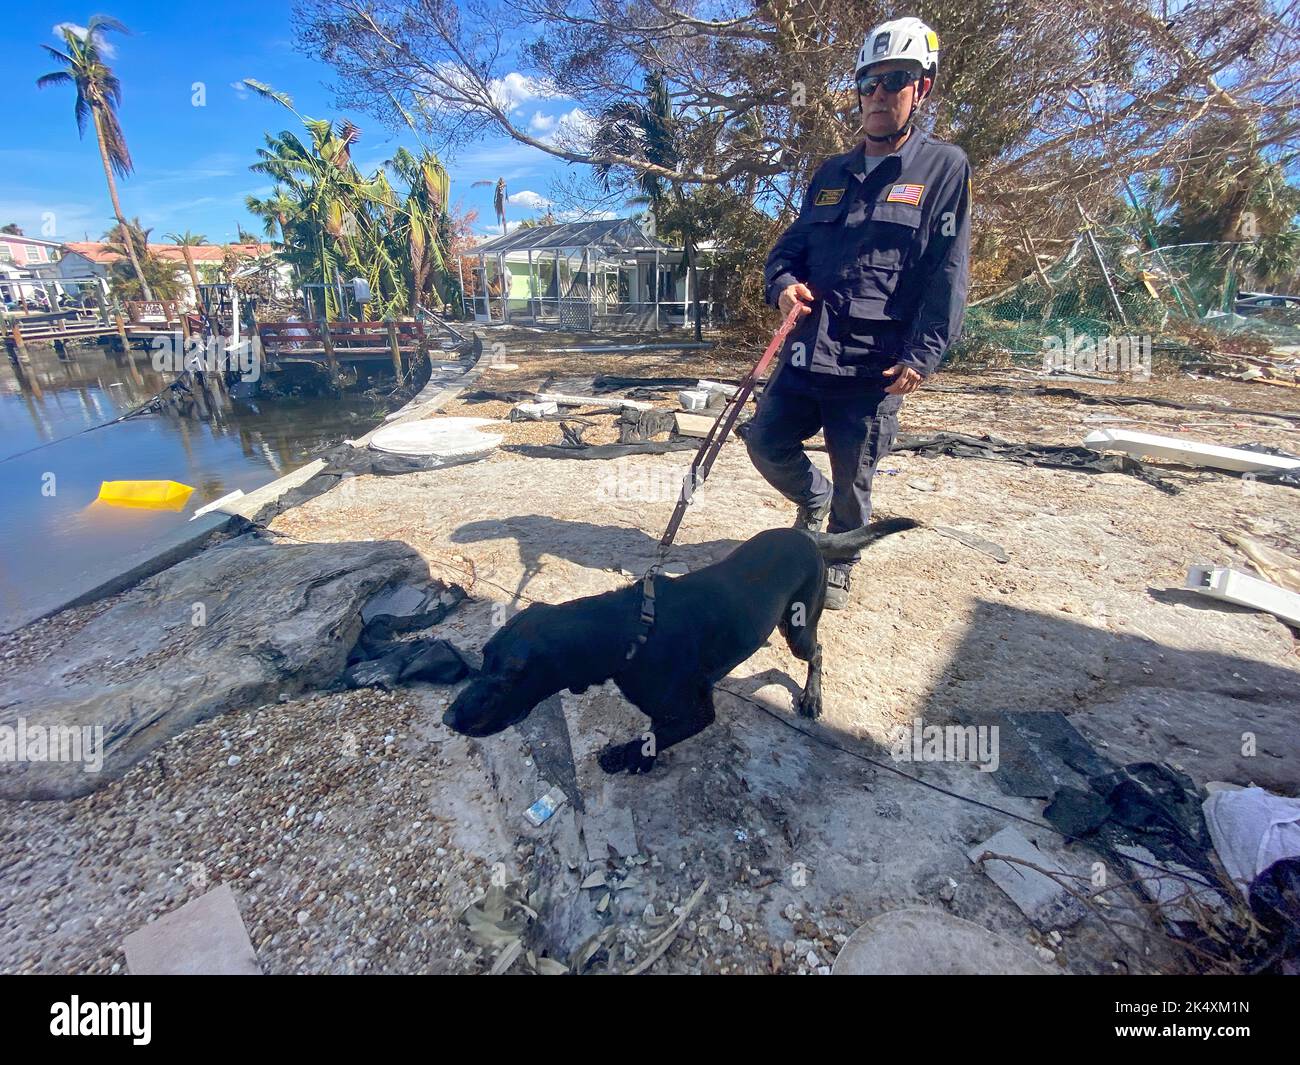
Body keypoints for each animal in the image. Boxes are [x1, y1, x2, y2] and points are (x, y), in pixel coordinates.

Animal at [441, 517, 920, 775]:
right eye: (483, 658)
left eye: (511, 676)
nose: (448, 718)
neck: (632, 631)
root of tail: (807, 536)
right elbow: (656, 729)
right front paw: (642, 757)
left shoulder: (698, 711)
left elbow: (656, 734)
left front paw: (625, 757)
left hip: (799, 626)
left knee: (817, 653)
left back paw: (811, 698)